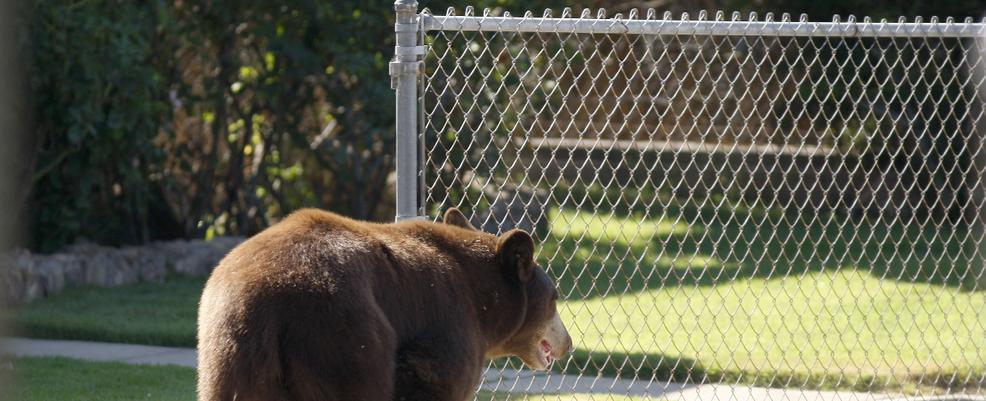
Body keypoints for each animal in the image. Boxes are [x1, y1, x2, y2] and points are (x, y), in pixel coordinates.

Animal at [197, 207, 572, 401]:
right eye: (554, 299)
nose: (567, 342)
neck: (483, 304)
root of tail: (266, 306)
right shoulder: (448, 321)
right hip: (346, 334)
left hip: (228, 353)